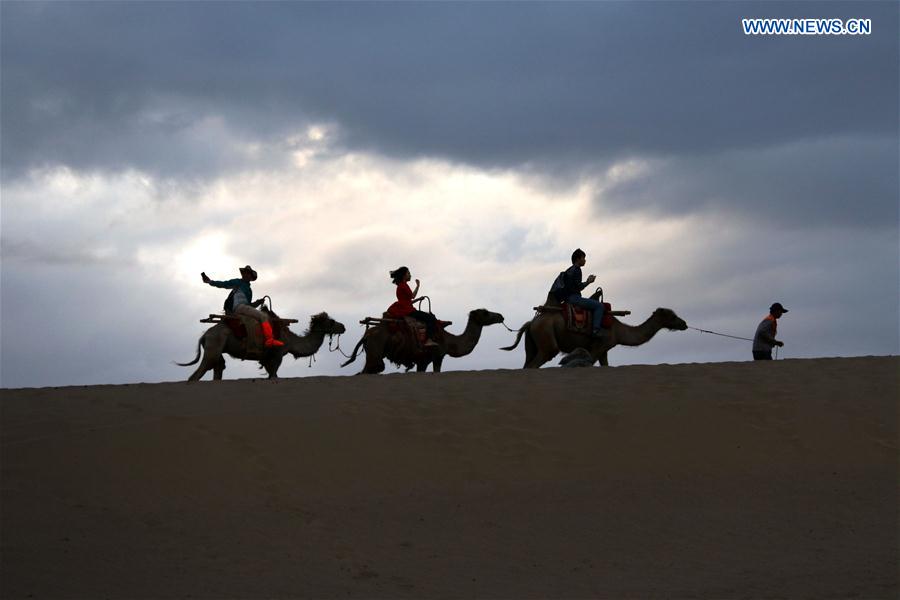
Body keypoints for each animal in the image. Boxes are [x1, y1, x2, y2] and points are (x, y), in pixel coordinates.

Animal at [176, 312, 344, 382]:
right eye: (331, 322)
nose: (343, 327)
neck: (290, 340)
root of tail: (204, 335)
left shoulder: (267, 358)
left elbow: (271, 375)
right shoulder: (277, 355)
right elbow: (274, 376)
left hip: (217, 348)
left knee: (218, 368)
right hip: (214, 344)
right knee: (199, 371)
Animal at [342, 310, 506, 376]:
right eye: (485, 312)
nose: (501, 316)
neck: (449, 340)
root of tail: (366, 334)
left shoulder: (423, 361)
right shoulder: (438, 355)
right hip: (375, 351)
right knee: (371, 369)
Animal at [502, 292, 684, 368]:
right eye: (672, 316)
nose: (684, 323)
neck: (618, 330)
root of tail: (531, 323)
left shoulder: (605, 350)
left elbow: (606, 366)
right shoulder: (598, 346)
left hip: (532, 343)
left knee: (527, 365)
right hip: (546, 338)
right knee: (537, 362)